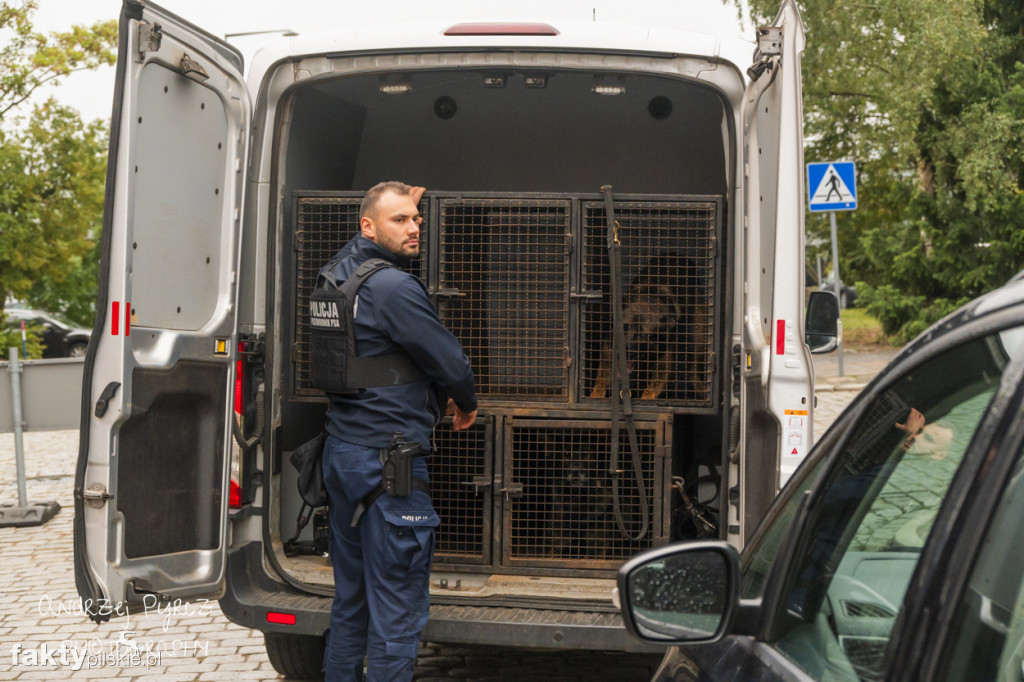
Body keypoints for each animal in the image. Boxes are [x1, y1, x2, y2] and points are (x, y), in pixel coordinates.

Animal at [593, 254, 704, 399]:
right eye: (623, 329)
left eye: (644, 334)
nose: (621, 353)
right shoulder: (607, 350)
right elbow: (600, 381)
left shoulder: (664, 360)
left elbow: (651, 390)